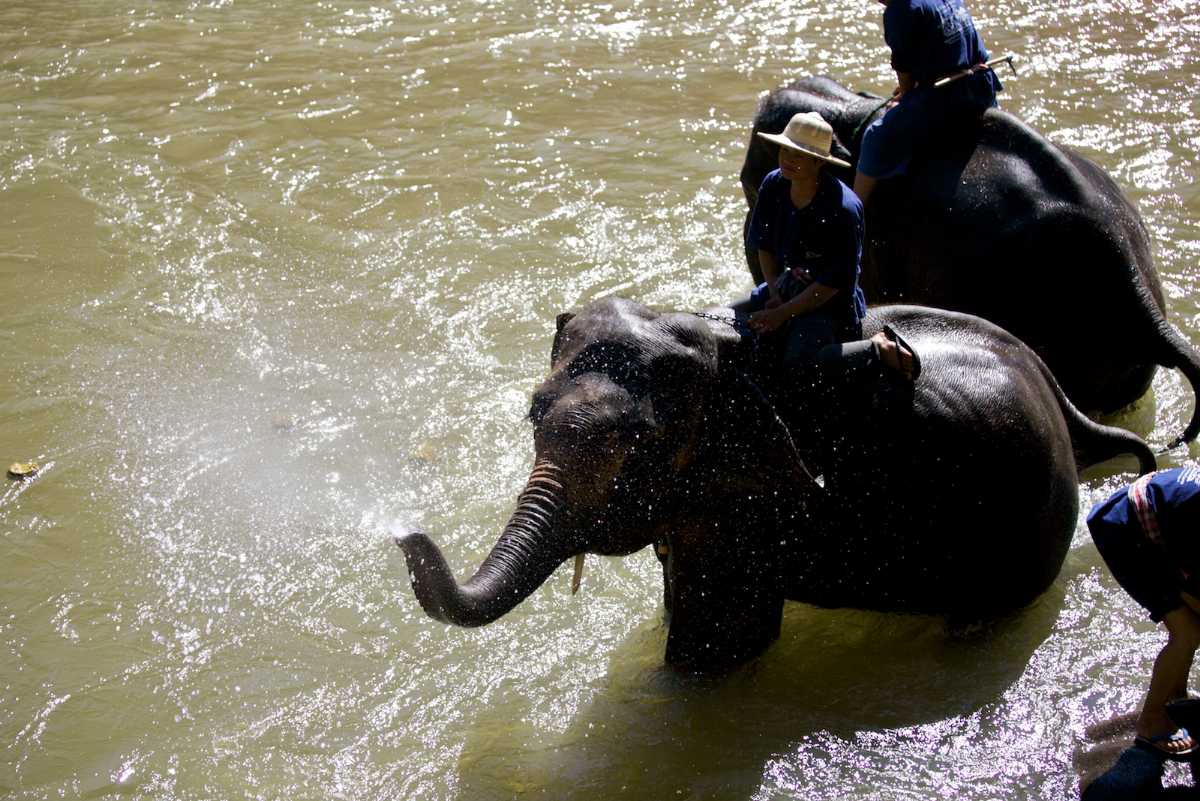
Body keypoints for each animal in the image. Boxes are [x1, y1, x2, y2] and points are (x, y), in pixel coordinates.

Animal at [398, 297, 1156, 671]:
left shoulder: (756, 505)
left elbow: (716, 647)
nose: (405, 533)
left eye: (636, 443)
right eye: (533, 413)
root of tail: (1055, 389)